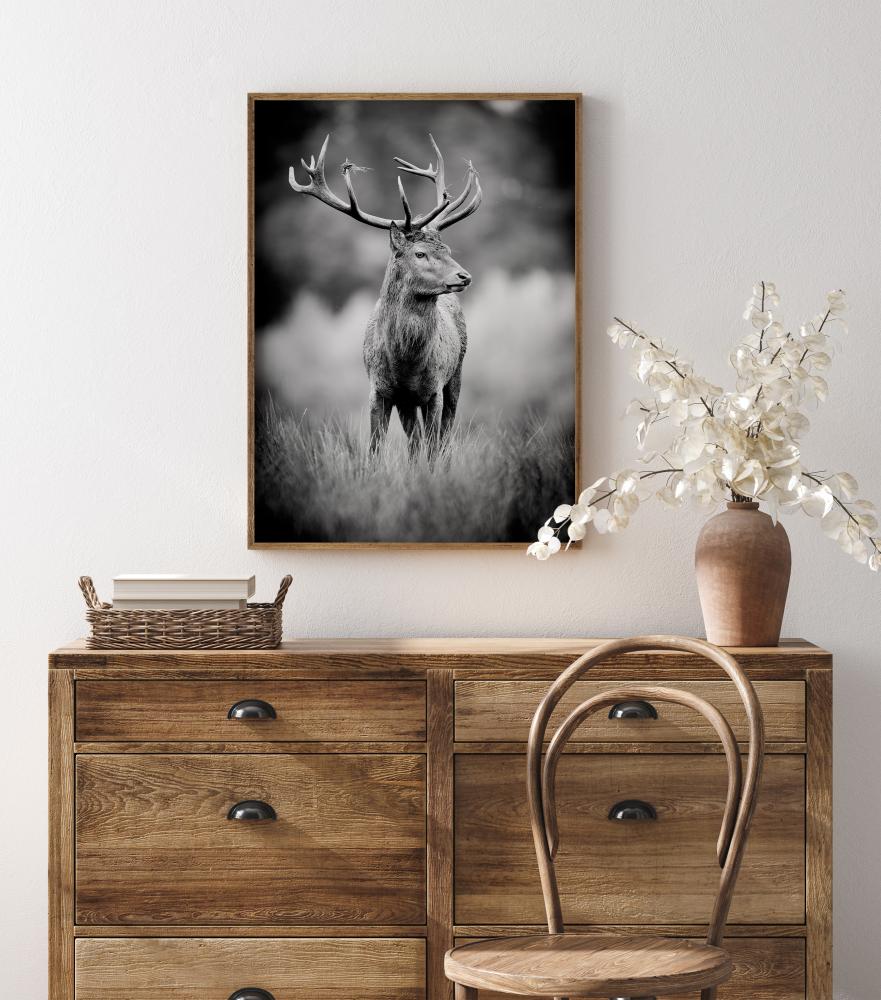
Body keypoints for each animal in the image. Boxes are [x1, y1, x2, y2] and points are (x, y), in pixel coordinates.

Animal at [288, 134, 481, 455]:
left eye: (447, 249)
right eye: (420, 253)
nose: (464, 276)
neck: (406, 365)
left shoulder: (434, 390)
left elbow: (433, 449)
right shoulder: (379, 390)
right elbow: (375, 449)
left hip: (456, 374)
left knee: (443, 438)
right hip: (408, 402)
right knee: (414, 442)